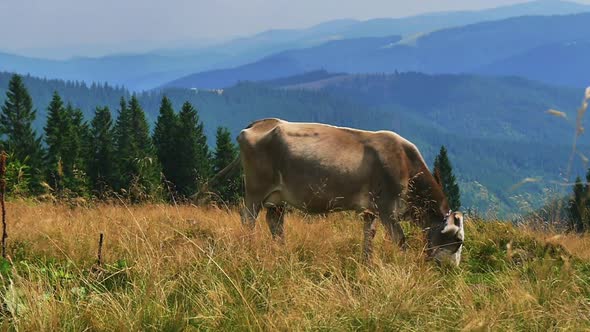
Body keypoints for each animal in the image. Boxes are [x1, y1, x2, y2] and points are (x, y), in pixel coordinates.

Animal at [210, 118, 464, 266]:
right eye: (458, 241)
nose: (452, 271)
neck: (405, 164)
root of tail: (260, 123)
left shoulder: (371, 210)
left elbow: (368, 236)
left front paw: (366, 264)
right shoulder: (387, 209)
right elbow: (400, 240)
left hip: (278, 197)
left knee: (275, 222)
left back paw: (281, 251)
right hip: (255, 189)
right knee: (248, 218)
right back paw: (250, 247)